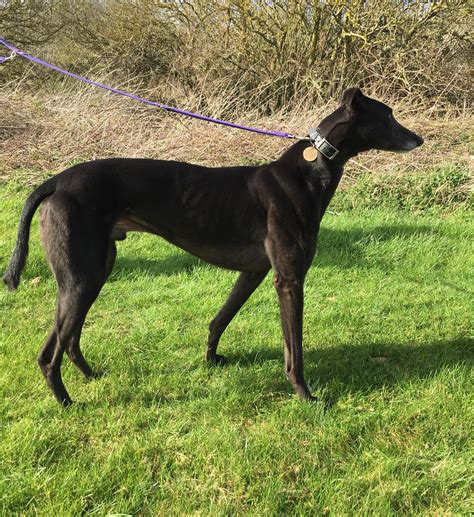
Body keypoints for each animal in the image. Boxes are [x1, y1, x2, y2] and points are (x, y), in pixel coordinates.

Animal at [1, 87, 424, 404]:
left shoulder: (255, 272)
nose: (419, 139)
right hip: (80, 278)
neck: (313, 166)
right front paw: (305, 394)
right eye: (388, 115)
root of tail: (56, 181)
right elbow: (295, 349)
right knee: (49, 353)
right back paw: (66, 401)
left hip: (94, 272)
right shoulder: (289, 279)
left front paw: (211, 358)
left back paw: (91, 375)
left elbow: (220, 318)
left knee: (69, 338)